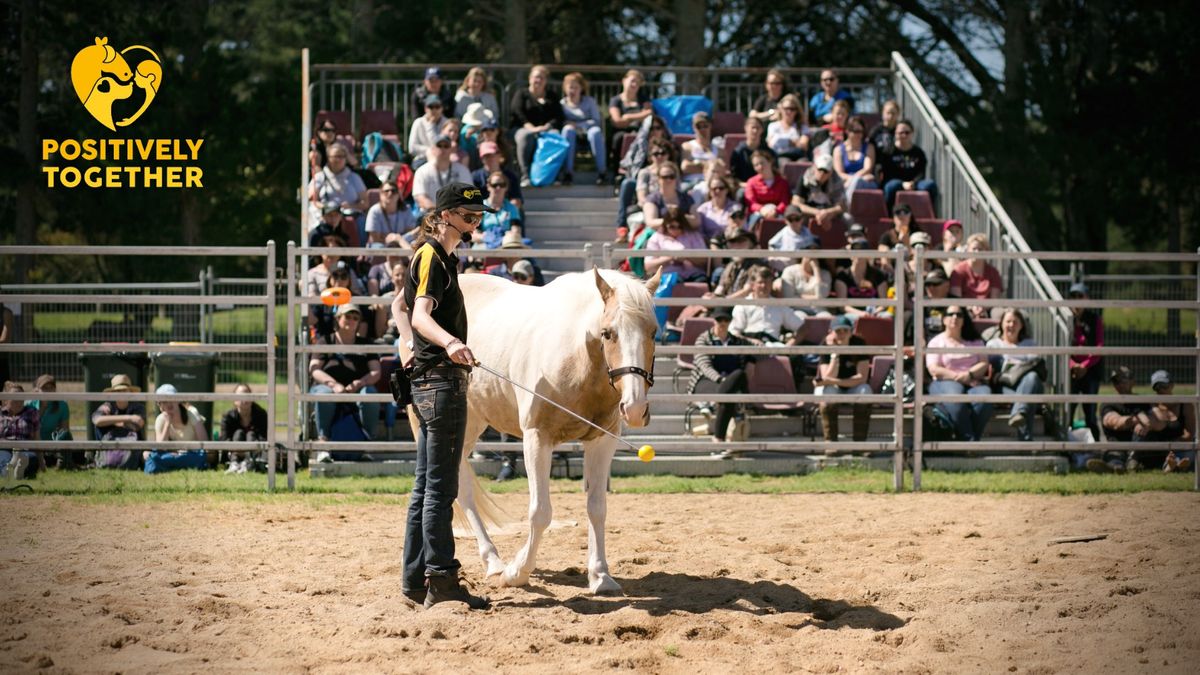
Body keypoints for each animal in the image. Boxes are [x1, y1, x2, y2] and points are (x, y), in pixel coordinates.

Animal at [451, 265, 657, 590]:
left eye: (654, 332)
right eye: (608, 333)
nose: (635, 409)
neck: (576, 358)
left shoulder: (602, 441)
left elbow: (597, 508)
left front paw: (600, 575)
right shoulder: (537, 438)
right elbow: (540, 512)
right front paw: (517, 572)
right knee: (464, 490)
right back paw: (494, 563)